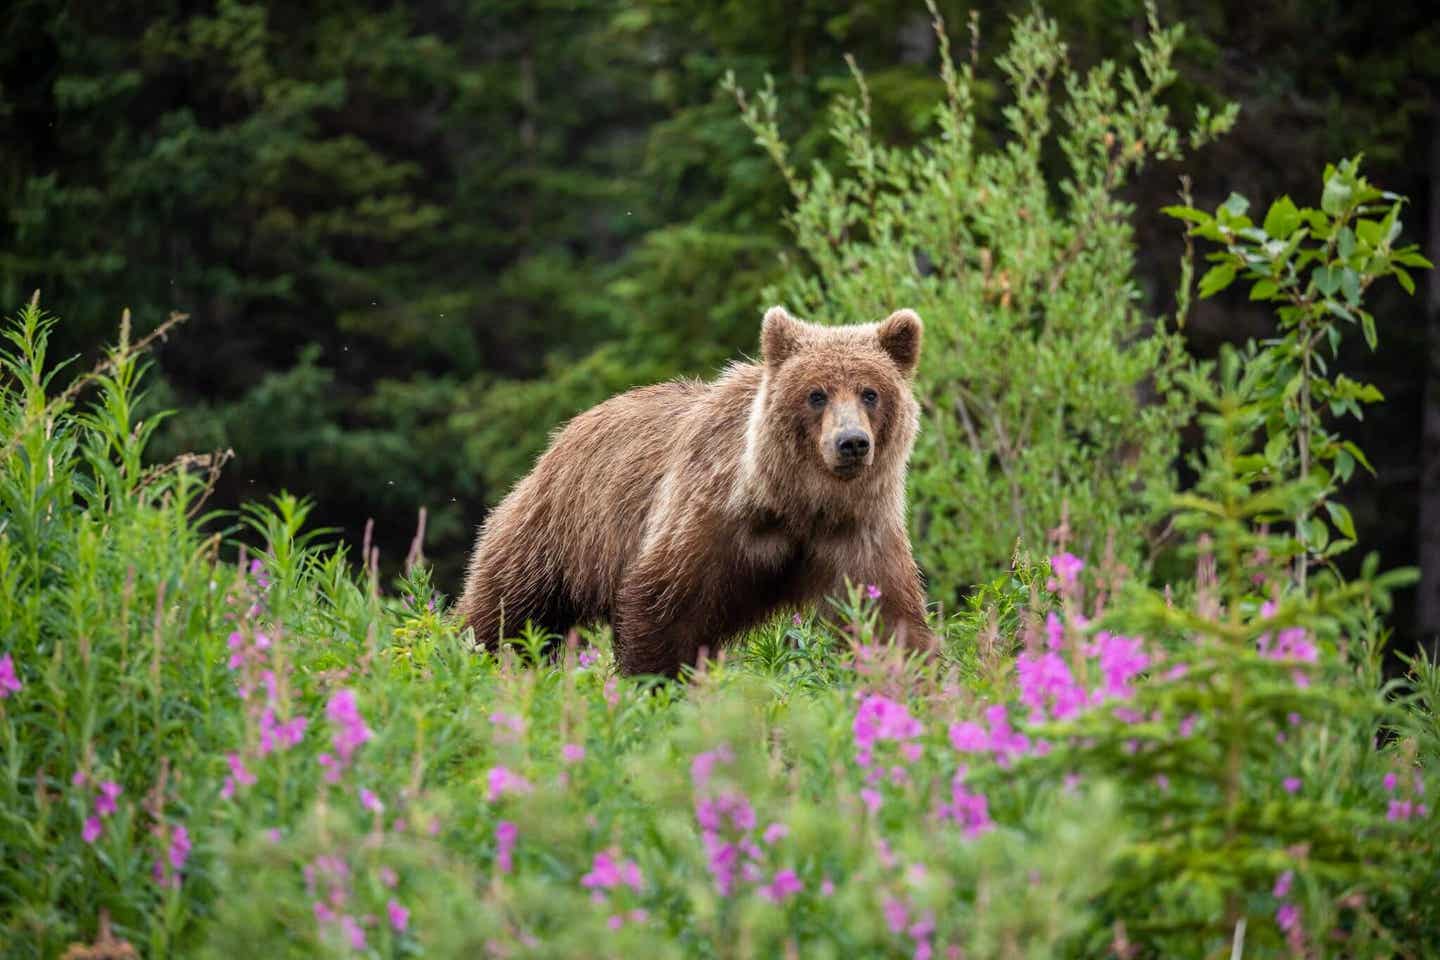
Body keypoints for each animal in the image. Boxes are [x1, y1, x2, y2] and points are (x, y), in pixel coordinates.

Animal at [457, 308, 933, 676]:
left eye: (870, 392)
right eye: (816, 394)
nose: (851, 442)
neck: (794, 505)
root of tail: (562, 435)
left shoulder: (856, 531)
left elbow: (888, 617)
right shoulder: (708, 519)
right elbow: (662, 609)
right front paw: (654, 684)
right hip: (558, 529)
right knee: (509, 607)